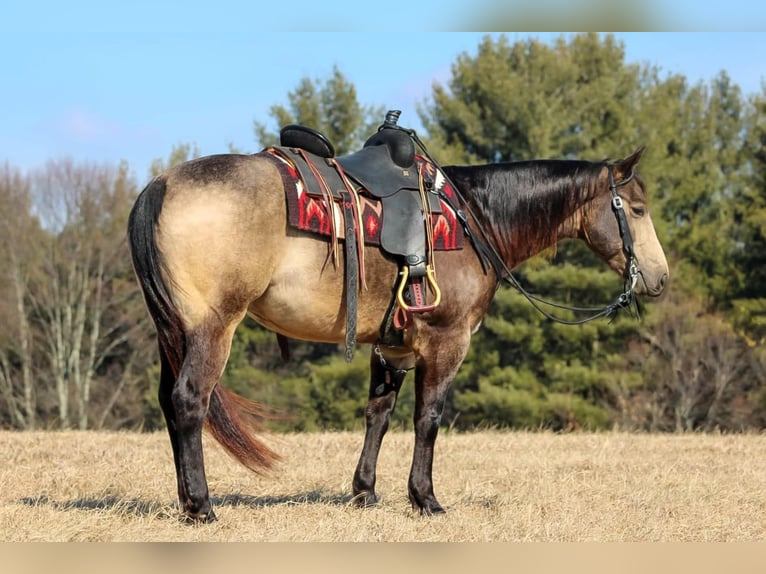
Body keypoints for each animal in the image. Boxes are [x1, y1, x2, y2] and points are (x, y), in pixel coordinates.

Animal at [129, 116, 668, 520]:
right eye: (637, 209)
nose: (659, 277)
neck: (474, 218)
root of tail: (159, 185)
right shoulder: (446, 342)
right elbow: (427, 418)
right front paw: (425, 498)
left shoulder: (393, 347)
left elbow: (379, 415)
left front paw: (364, 492)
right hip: (212, 327)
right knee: (189, 401)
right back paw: (201, 506)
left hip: (172, 331)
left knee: (168, 403)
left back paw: (186, 501)